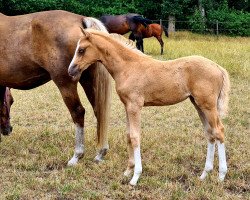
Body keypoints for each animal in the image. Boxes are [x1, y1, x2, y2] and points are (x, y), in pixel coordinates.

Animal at [0, 10, 111, 165]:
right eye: (10, 102)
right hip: (89, 81)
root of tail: (80, 19)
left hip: (65, 83)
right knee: (98, 110)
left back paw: (77, 155)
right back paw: (101, 153)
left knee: (78, 112)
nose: (7, 130)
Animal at [67, 28, 229, 186]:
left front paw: (135, 177)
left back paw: (221, 176)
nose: (70, 70)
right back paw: (204, 174)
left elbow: (135, 136)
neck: (128, 67)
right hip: (198, 105)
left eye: (81, 50)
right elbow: (128, 135)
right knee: (209, 133)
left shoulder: (135, 106)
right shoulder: (127, 106)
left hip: (208, 106)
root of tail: (218, 67)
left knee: (219, 131)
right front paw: (128, 171)